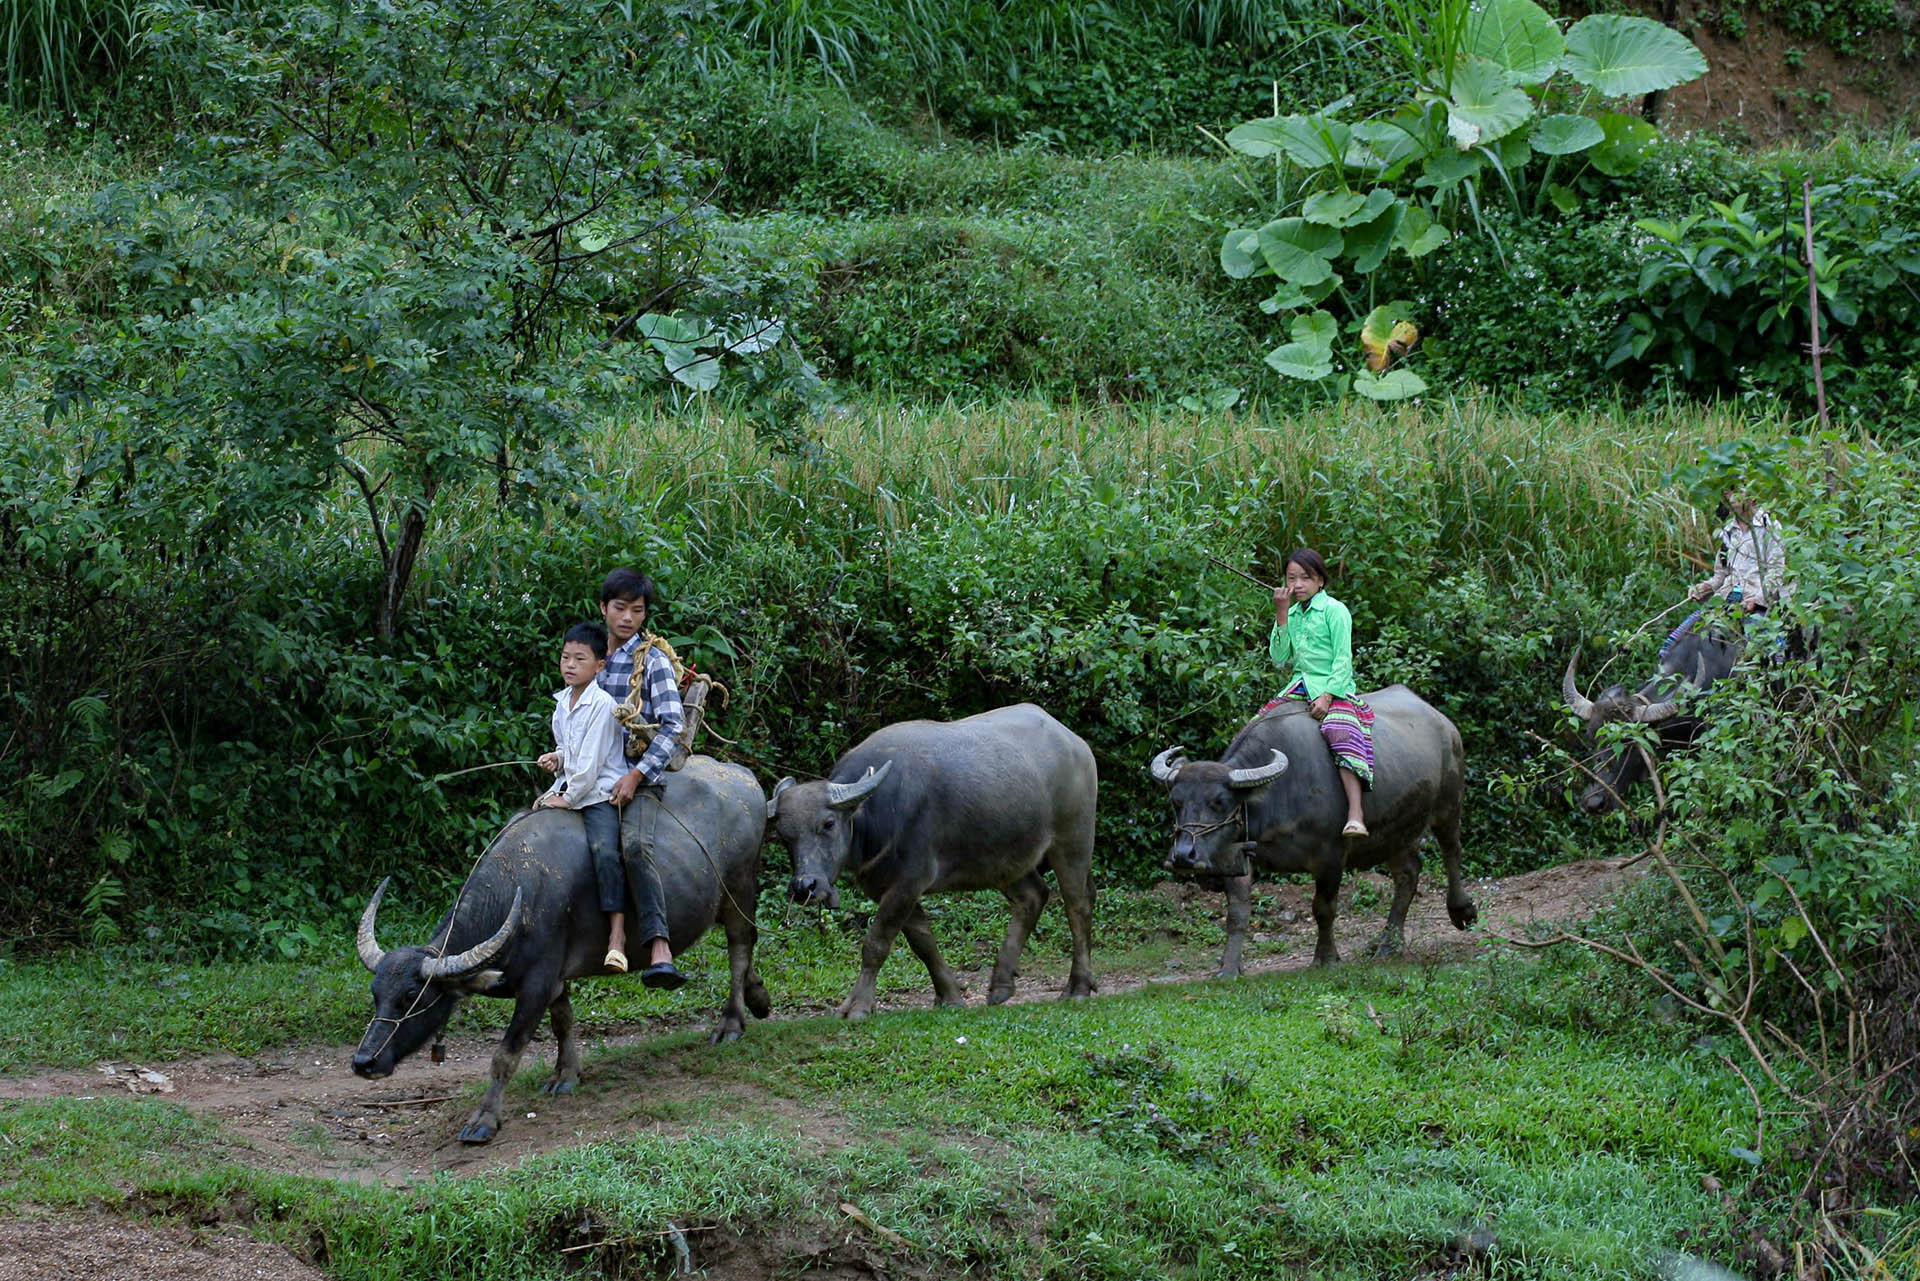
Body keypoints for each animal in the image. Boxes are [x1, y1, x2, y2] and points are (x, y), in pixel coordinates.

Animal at [349, 752, 768, 1144]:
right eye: (376, 995)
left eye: (411, 997)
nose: (364, 1062)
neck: (518, 892)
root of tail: (743, 776)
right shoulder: (554, 977)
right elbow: (563, 1021)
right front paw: (566, 1074)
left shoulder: (536, 984)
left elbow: (505, 1055)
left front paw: (483, 1120)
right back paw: (758, 997)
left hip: (740, 889)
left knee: (739, 948)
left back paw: (731, 1023)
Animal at [764, 702, 1098, 1021]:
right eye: (783, 835)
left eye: (828, 823)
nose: (805, 886)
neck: (876, 814)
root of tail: (1076, 744)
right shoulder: (887, 887)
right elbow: (923, 943)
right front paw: (949, 997)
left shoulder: (909, 881)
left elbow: (876, 943)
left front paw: (857, 1006)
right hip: (1004, 858)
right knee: (1033, 897)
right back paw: (1001, 985)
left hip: (1073, 840)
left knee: (1077, 905)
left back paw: (1078, 987)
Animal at [1144, 691, 1474, 971]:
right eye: (1176, 802)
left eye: (1220, 802)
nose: (1184, 856)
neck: (1279, 795)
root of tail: (1445, 724)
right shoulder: (1238, 854)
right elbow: (1237, 913)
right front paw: (1229, 967)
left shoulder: (1332, 856)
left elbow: (1323, 908)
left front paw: (1326, 958)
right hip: (1395, 831)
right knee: (1408, 873)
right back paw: (1388, 944)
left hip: (1449, 805)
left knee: (1452, 851)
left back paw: (1461, 911)